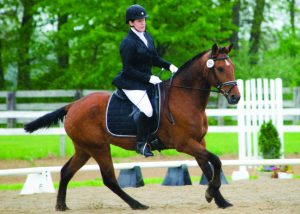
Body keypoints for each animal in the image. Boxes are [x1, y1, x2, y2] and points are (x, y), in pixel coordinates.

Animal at [23, 43, 240, 211]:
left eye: (232, 67)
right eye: (220, 69)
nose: (235, 97)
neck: (184, 97)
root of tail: (73, 105)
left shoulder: (199, 141)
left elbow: (208, 168)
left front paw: (220, 200)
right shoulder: (184, 143)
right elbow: (216, 161)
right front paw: (210, 193)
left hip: (84, 149)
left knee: (67, 171)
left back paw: (61, 205)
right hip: (98, 147)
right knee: (109, 179)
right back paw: (137, 204)